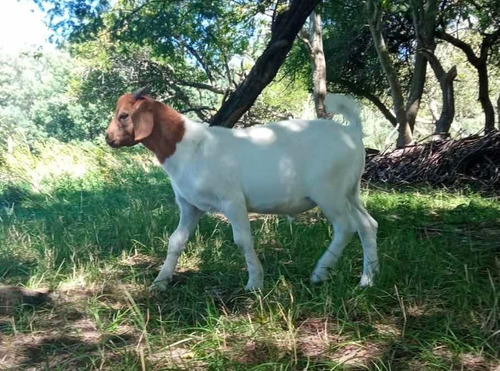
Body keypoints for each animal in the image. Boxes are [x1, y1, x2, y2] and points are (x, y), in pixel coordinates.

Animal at [106, 88, 378, 292]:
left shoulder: (232, 200)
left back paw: (320, 273)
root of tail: (352, 132)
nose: (108, 138)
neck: (188, 146)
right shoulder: (190, 206)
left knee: (345, 226)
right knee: (367, 224)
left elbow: (242, 240)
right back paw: (368, 278)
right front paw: (160, 281)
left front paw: (255, 282)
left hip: (329, 191)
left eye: (124, 115)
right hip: (350, 191)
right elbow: (176, 240)